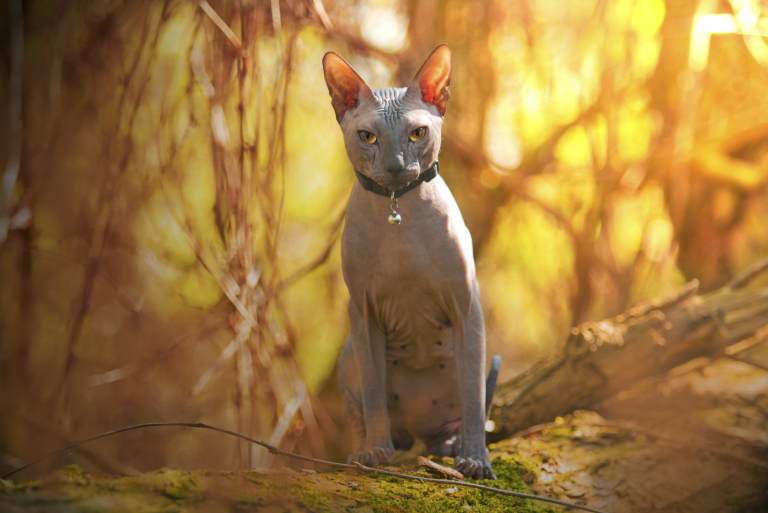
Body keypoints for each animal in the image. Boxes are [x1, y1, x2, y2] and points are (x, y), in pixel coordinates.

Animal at [322, 45, 498, 480]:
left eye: (418, 133)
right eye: (367, 136)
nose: (397, 166)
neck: (397, 207)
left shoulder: (466, 305)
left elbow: (474, 398)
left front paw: (476, 460)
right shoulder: (363, 311)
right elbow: (373, 394)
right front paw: (375, 453)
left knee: (464, 409)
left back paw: (453, 447)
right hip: (349, 351)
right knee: (362, 413)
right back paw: (363, 451)